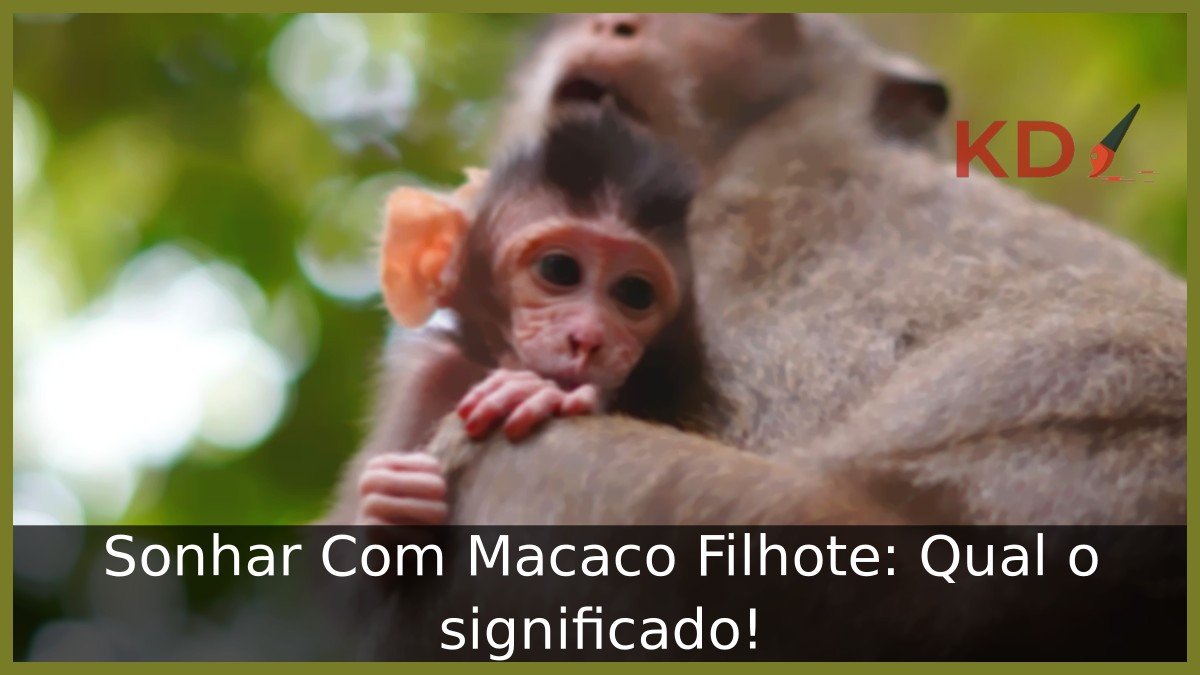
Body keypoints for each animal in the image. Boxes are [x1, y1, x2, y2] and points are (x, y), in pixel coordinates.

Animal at [337, 106, 714, 526]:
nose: (588, 337)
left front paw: (535, 393)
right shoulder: (427, 379)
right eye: (559, 270)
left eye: (635, 293)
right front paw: (388, 503)